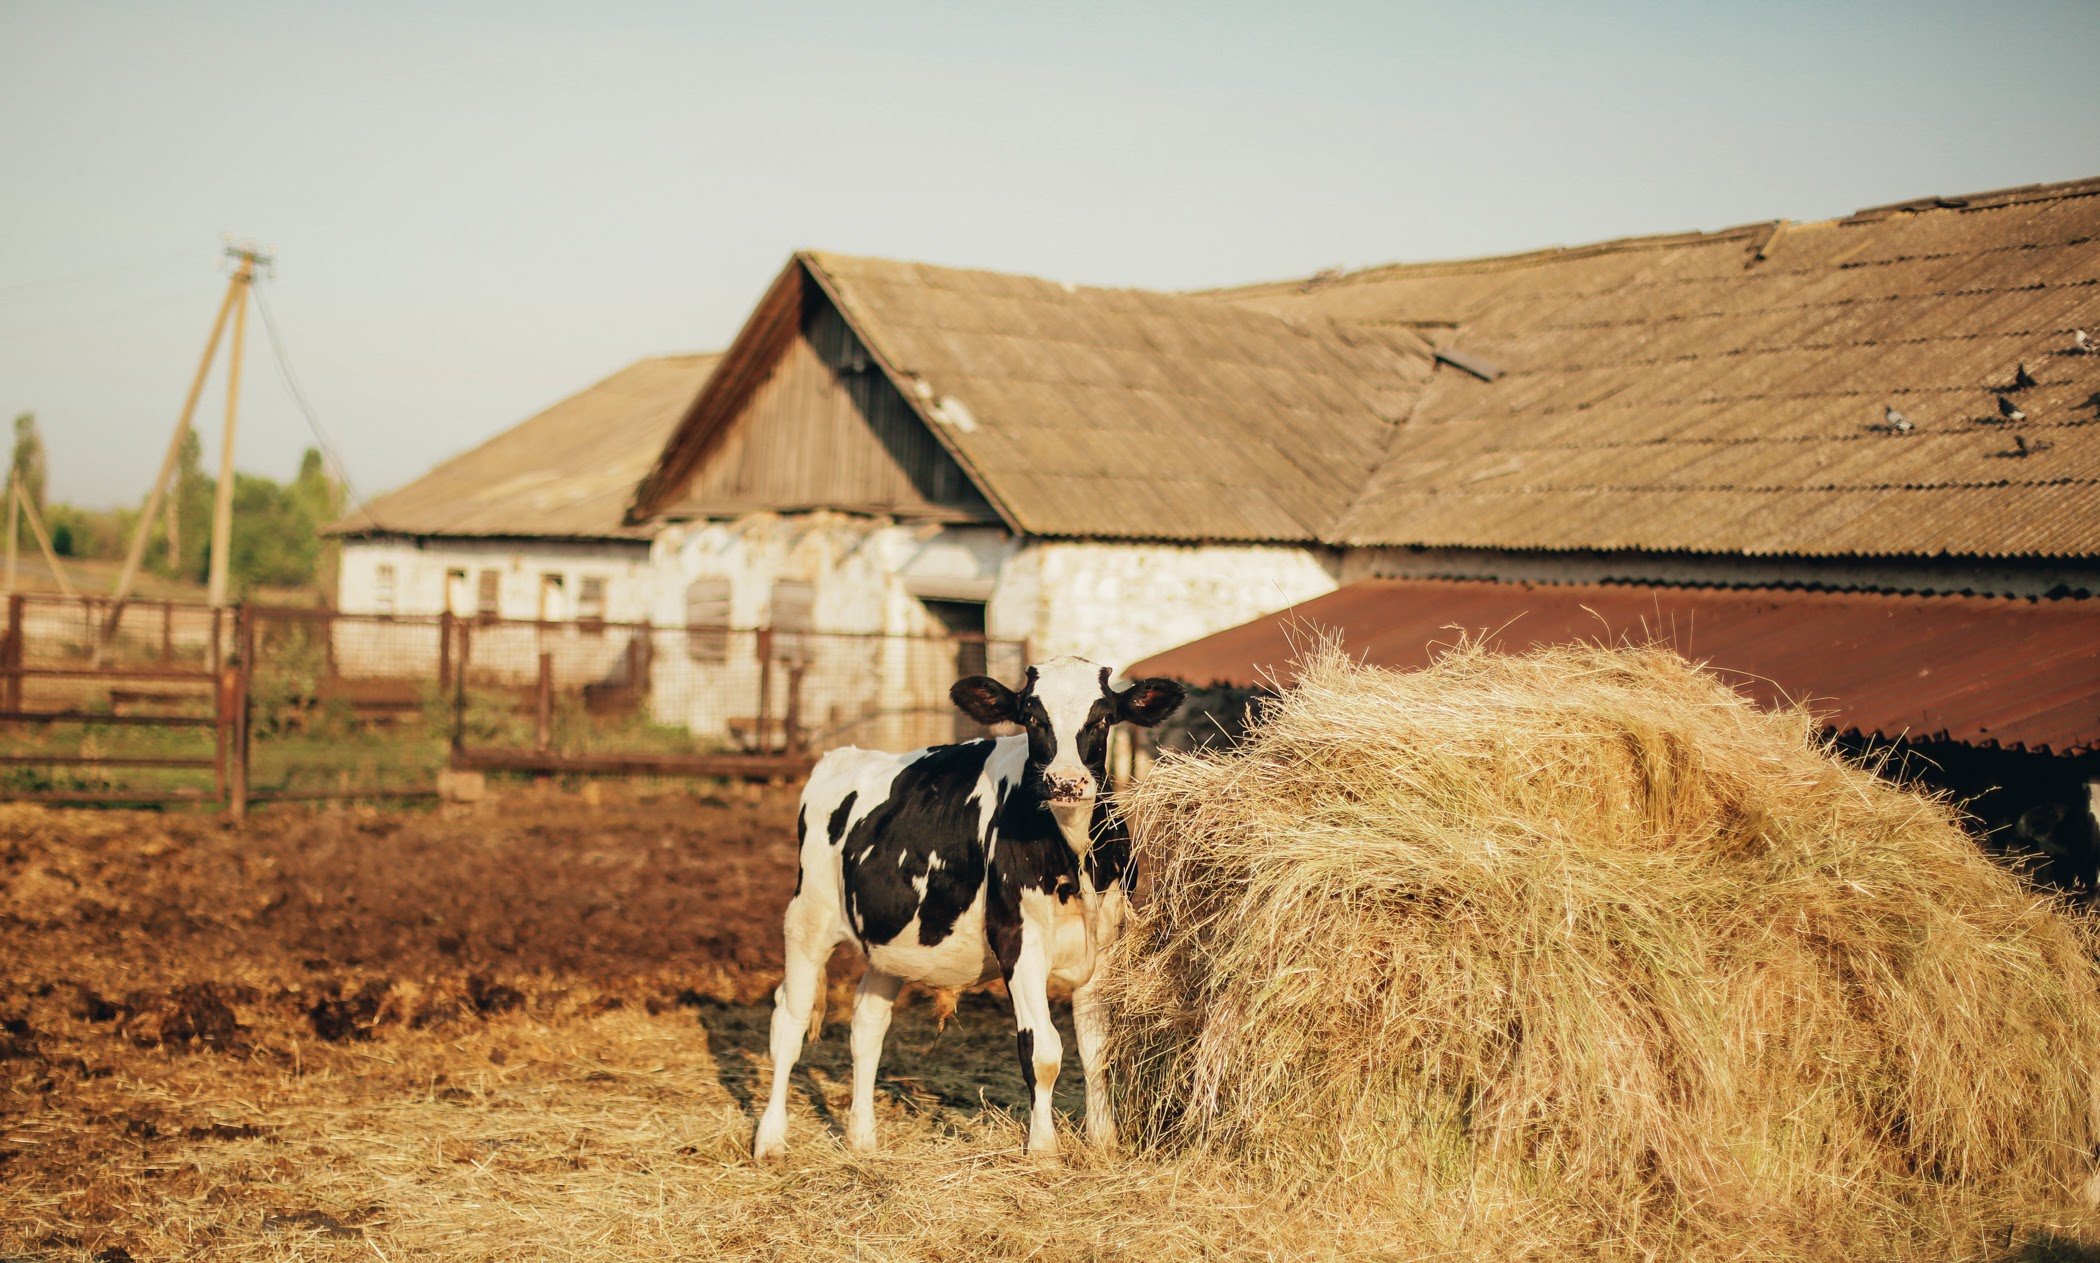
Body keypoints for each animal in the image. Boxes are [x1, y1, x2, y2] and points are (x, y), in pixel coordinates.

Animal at [751, 655, 1184, 1160]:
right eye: (1032, 718)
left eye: (1102, 718)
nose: (1066, 782)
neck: (1074, 853)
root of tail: (838, 757)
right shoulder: (1019, 939)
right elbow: (1043, 1051)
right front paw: (1043, 1151)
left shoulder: (1106, 940)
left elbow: (1097, 1048)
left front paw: (1104, 1142)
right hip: (807, 919)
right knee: (789, 1020)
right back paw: (770, 1139)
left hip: (891, 941)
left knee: (867, 1026)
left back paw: (862, 1139)